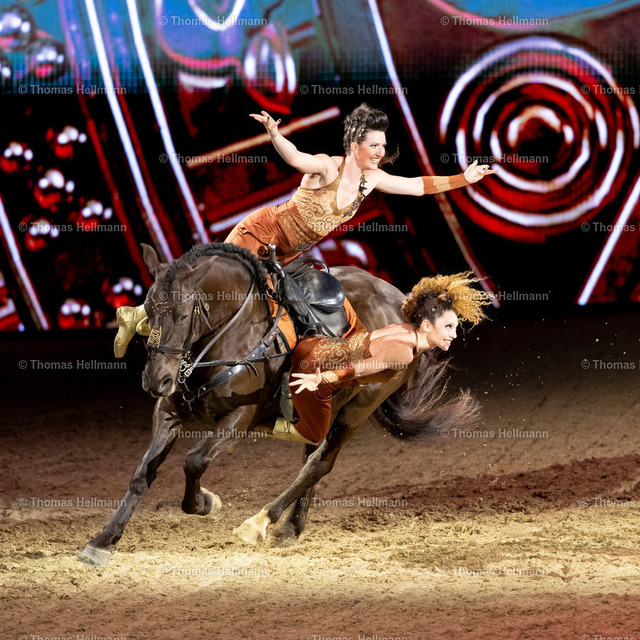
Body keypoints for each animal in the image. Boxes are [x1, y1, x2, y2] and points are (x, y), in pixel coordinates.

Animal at [79, 242, 476, 566]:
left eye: (182, 314)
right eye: (148, 309)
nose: (155, 379)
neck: (232, 334)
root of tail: (402, 307)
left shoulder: (238, 418)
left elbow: (195, 462)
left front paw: (205, 503)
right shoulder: (167, 412)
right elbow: (141, 474)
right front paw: (104, 540)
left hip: (358, 408)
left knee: (319, 465)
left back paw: (262, 523)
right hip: (323, 411)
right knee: (310, 461)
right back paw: (291, 527)